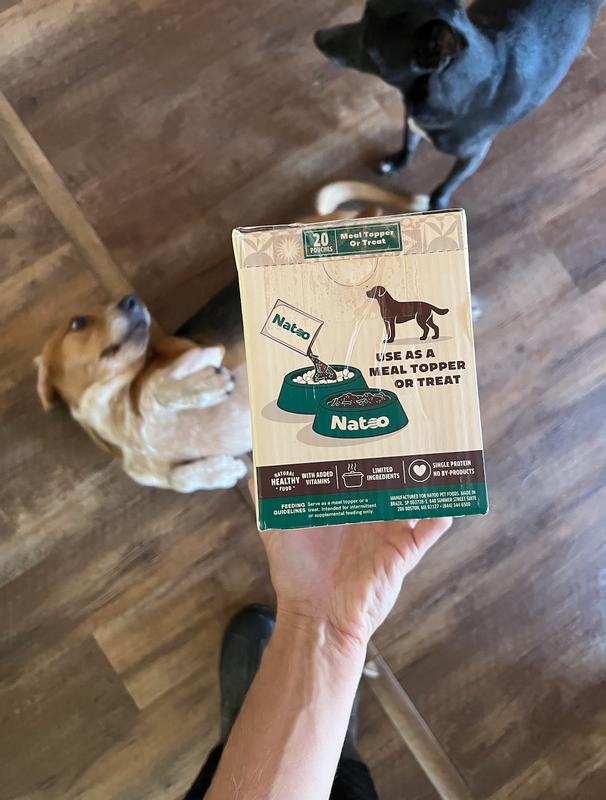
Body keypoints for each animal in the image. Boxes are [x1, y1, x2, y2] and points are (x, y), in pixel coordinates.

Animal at [35, 295, 251, 492]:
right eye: (77, 323)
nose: (132, 299)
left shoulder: (207, 351)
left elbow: (155, 390)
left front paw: (207, 384)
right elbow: (176, 479)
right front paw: (223, 472)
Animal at [315, 0, 605, 208]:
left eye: (370, 49)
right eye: (362, 16)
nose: (317, 36)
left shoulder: (472, 156)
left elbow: (446, 185)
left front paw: (437, 206)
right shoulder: (412, 119)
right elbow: (408, 143)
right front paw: (397, 163)